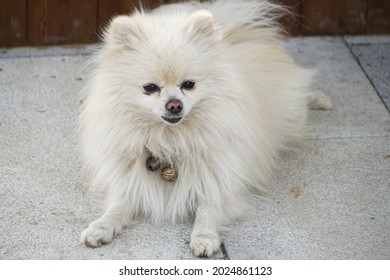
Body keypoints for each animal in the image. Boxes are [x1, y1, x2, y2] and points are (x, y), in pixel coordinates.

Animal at [79, 0, 332, 258]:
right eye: (150, 88)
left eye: (189, 84)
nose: (174, 104)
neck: (171, 138)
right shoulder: (129, 178)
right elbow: (119, 205)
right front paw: (101, 227)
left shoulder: (220, 177)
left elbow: (208, 209)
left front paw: (204, 237)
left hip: (289, 112)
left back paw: (318, 99)